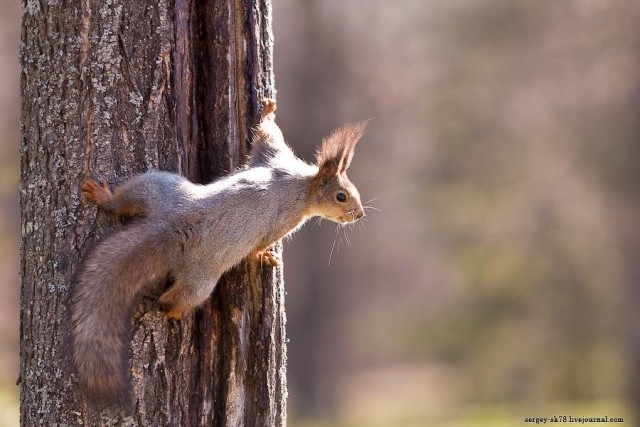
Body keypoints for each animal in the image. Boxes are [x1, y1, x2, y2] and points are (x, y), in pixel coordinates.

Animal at [70, 99, 368, 404]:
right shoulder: (283, 219)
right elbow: (260, 242)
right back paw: (170, 310)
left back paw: (103, 197)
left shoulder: (273, 158)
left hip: (155, 186)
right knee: (177, 298)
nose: (359, 215)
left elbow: (266, 138)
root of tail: (170, 227)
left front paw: (268, 109)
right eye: (341, 197)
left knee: (120, 203)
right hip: (199, 279)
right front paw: (265, 255)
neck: (302, 184)